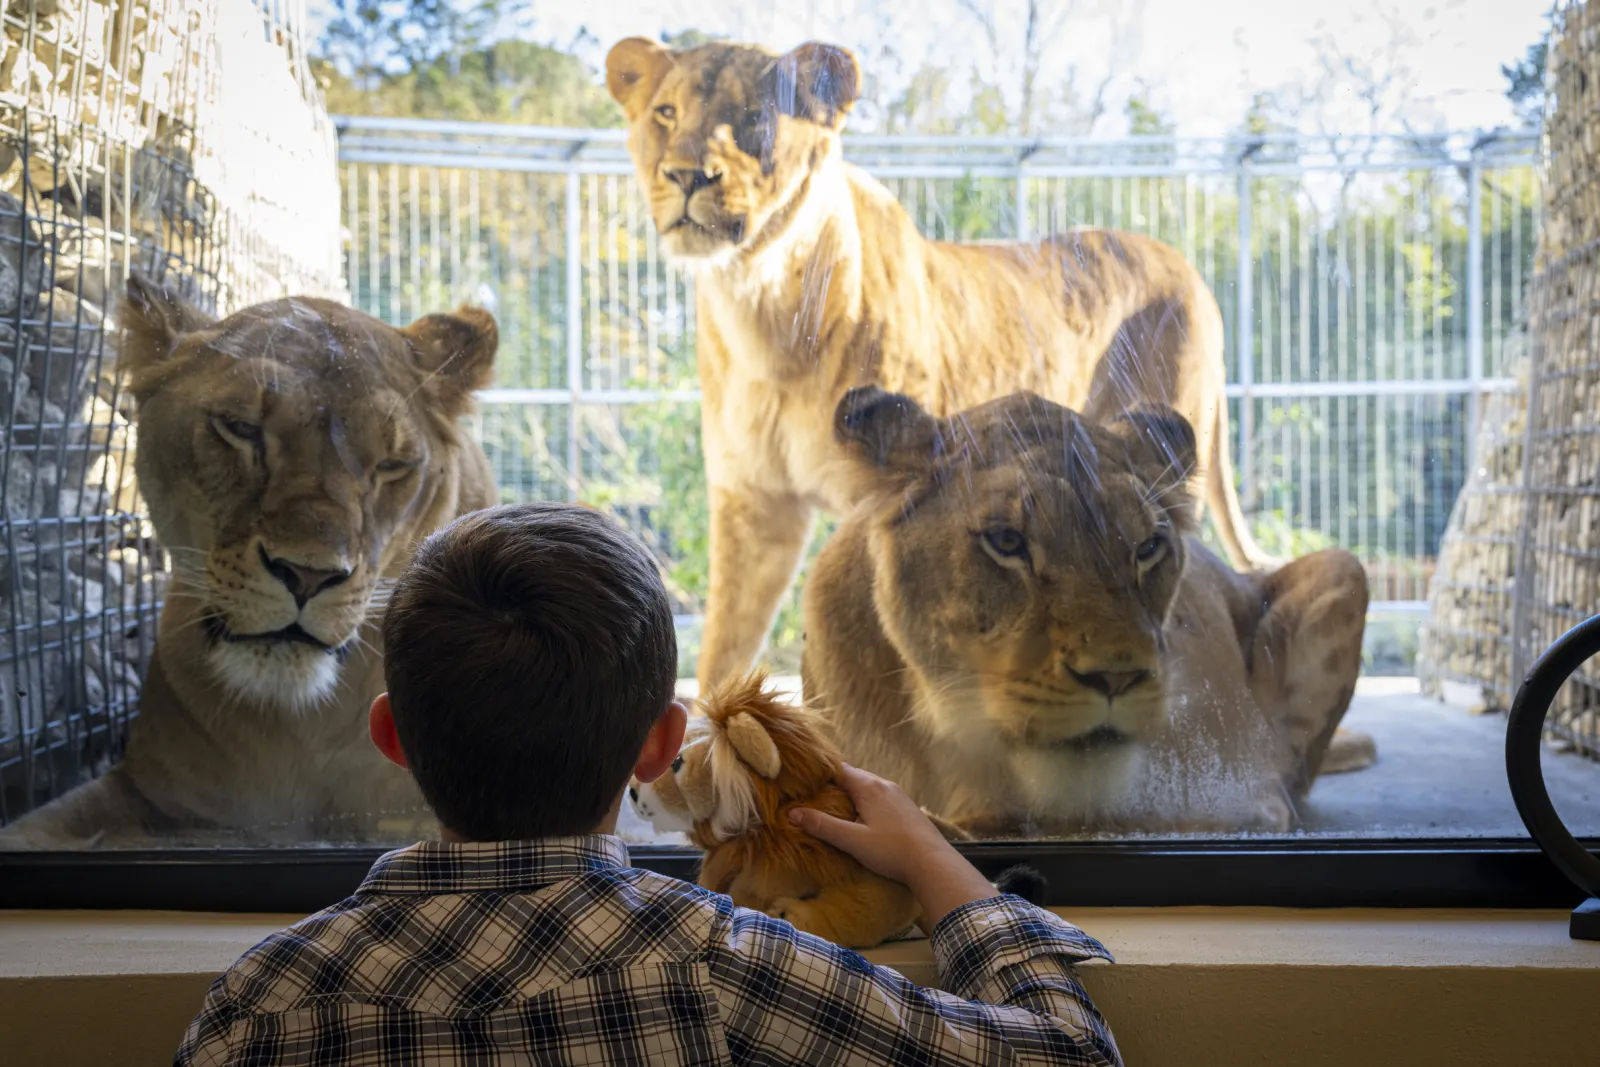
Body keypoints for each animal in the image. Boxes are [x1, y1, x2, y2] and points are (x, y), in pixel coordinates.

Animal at [0, 274, 498, 848]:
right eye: (239, 428)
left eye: (393, 464)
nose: (307, 575)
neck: (303, 731)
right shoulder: (145, 791)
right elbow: (30, 829)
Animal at [605, 36, 1275, 694]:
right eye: (665, 114)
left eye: (754, 117)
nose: (687, 174)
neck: (764, 316)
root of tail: (1186, 266)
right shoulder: (753, 504)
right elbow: (724, 649)